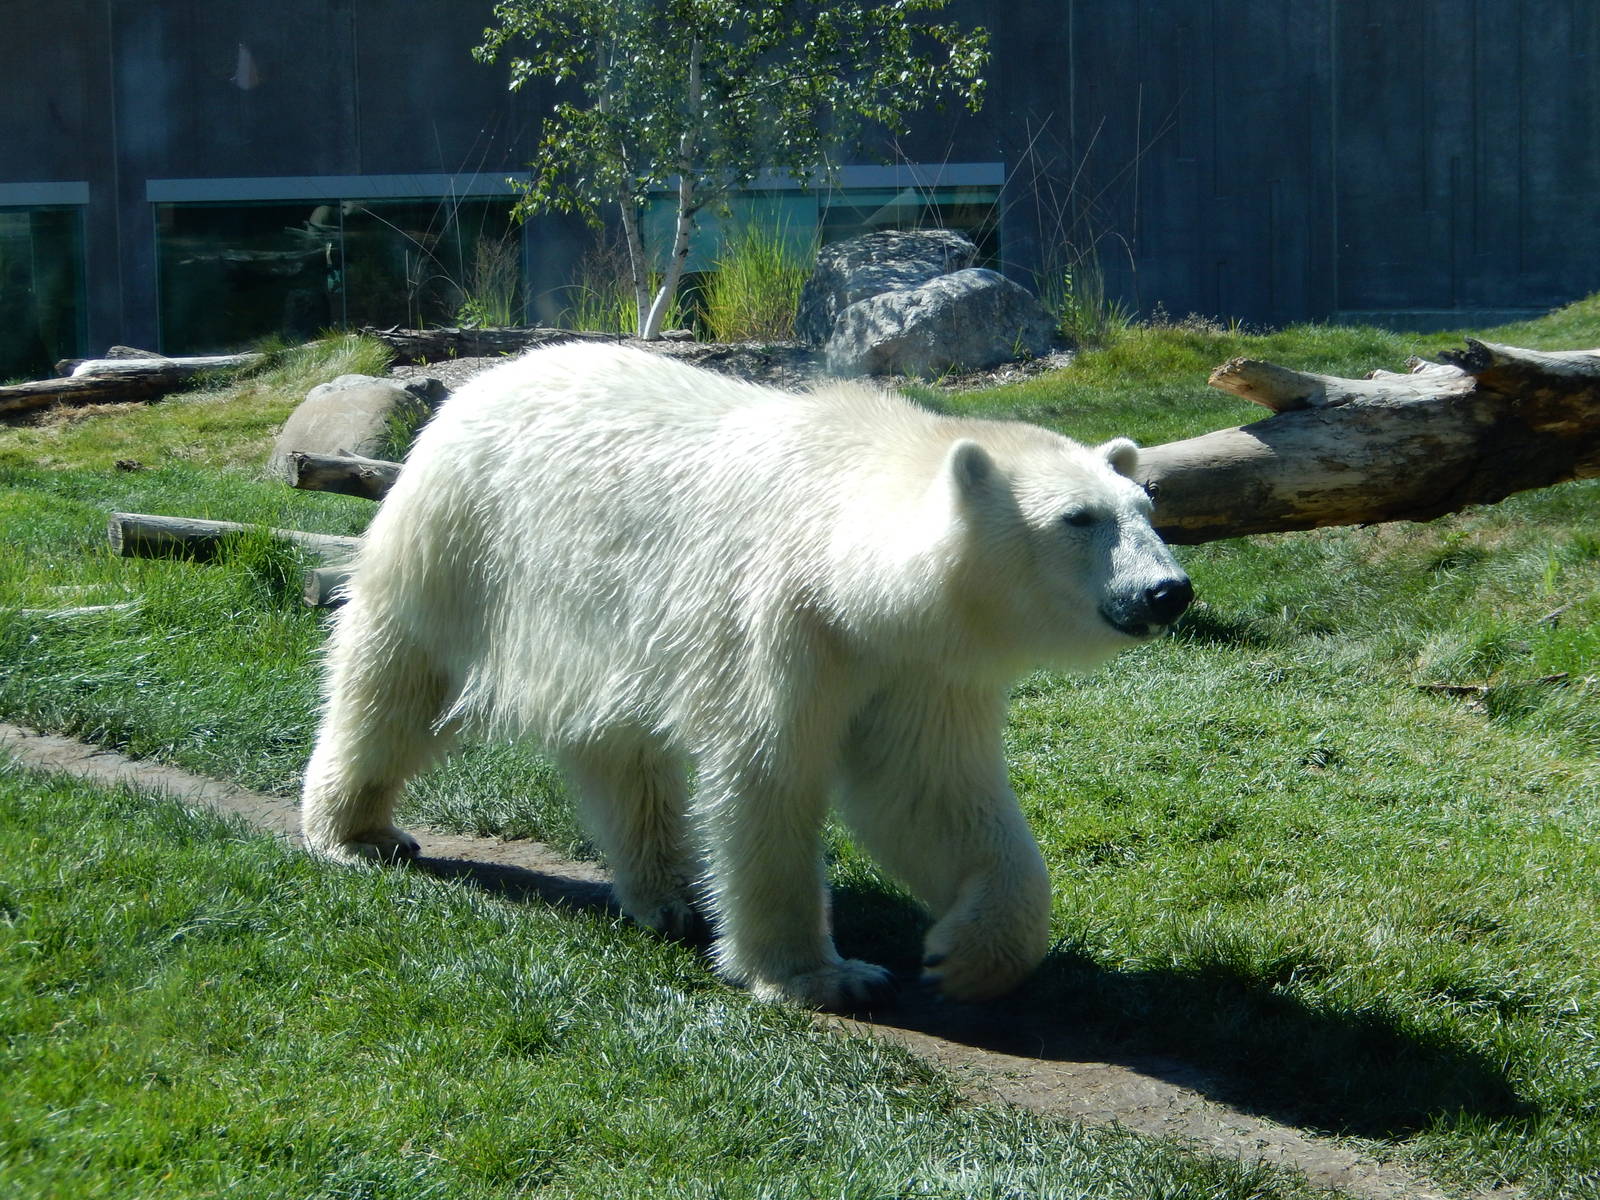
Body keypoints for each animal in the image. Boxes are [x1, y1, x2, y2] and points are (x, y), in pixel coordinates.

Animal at [300, 342, 1191, 1011]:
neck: (844, 557)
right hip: (460, 545)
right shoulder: (785, 623)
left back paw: (665, 896)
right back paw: (357, 831)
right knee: (398, 683)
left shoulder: (916, 662)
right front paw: (822, 976)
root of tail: (472, 388)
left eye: (1147, 507)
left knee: (619, 752)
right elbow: (767, 780)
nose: (1168, 591)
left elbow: (927, 790)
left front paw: (967, 954)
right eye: (1078, 518)